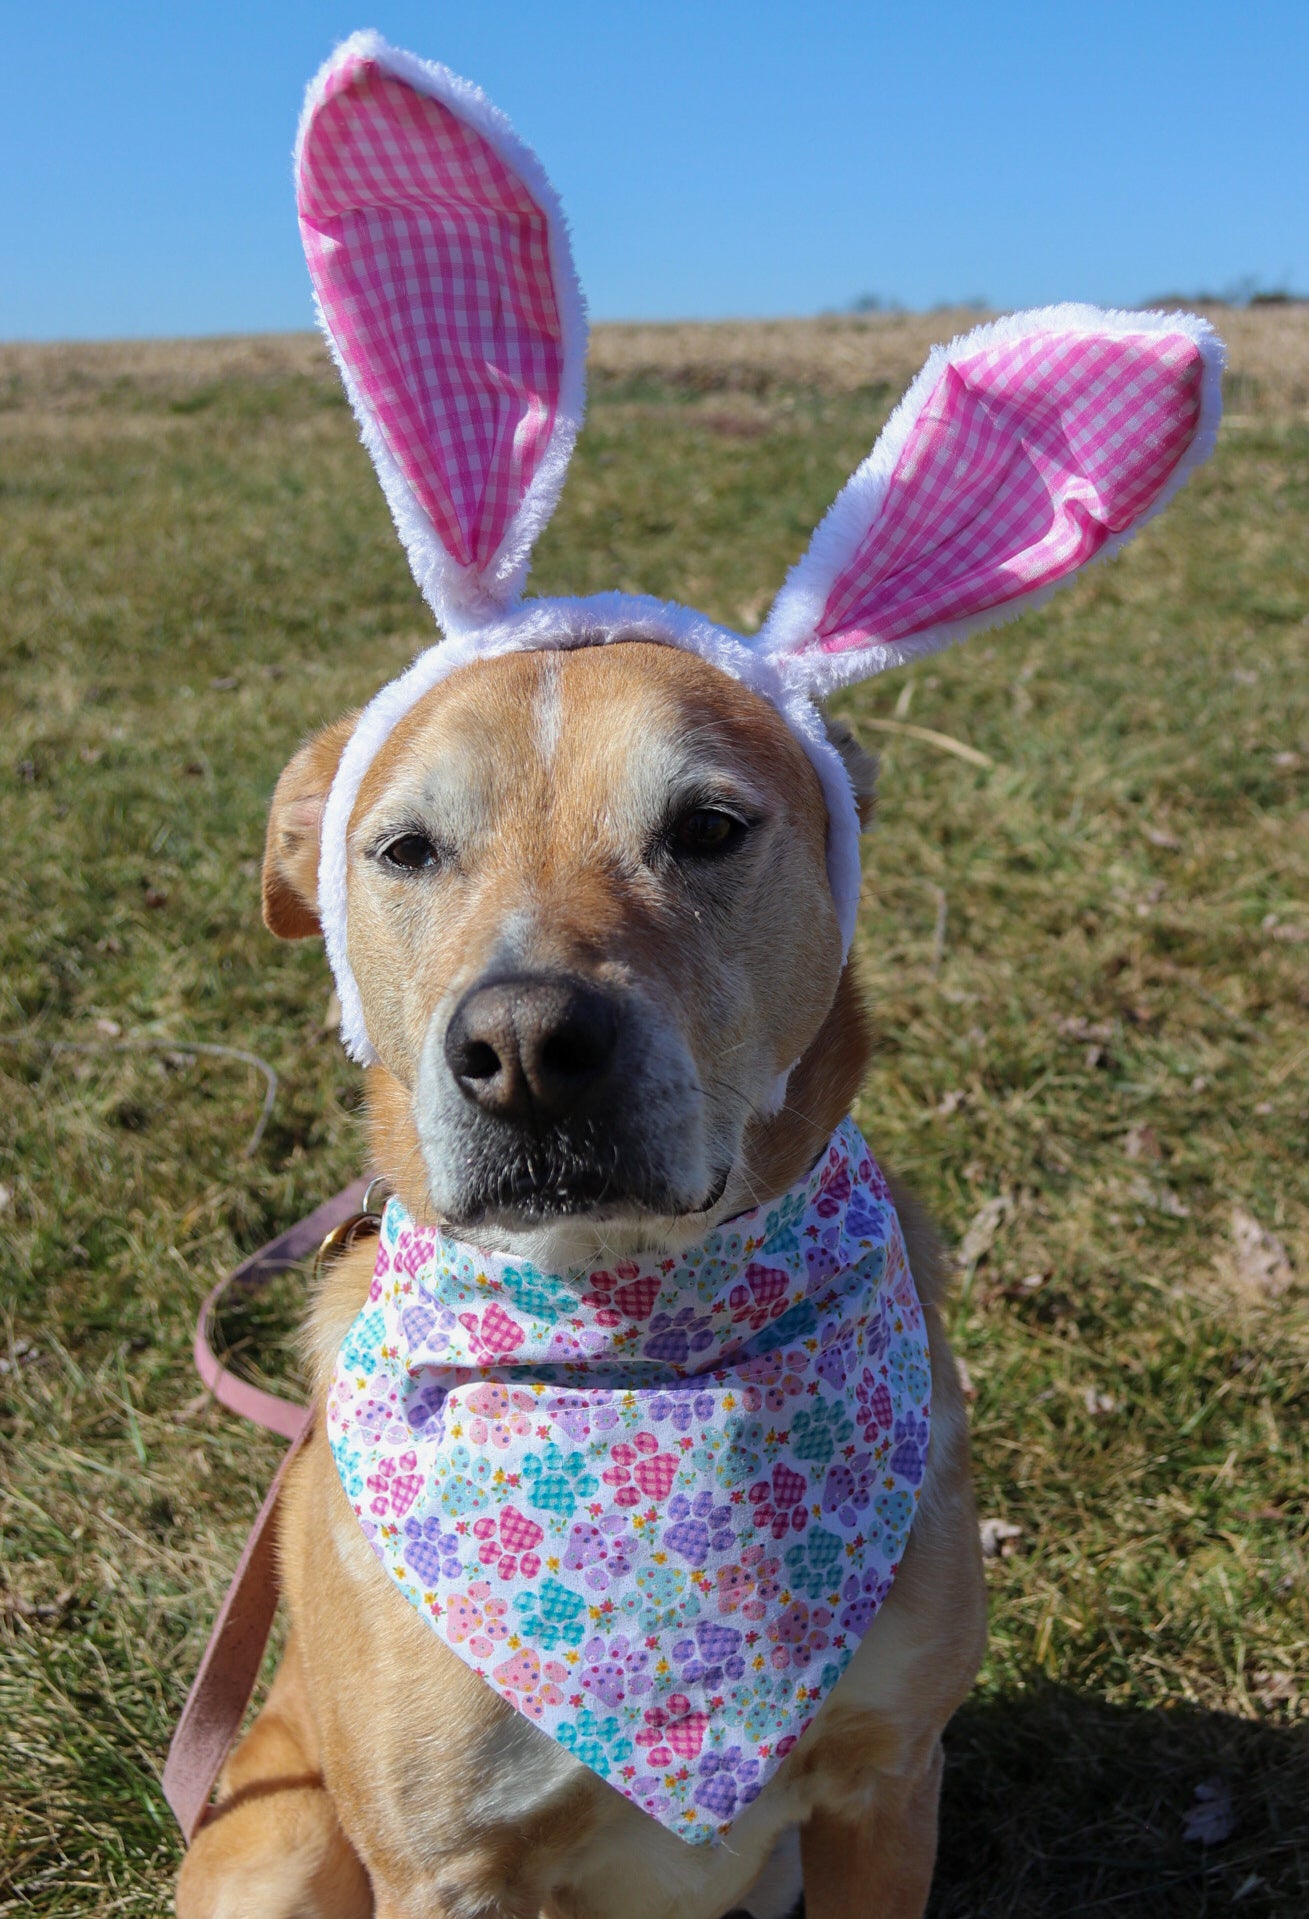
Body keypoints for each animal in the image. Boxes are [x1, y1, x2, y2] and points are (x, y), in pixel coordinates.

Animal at [178, 644, 982, 1919]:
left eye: (705, 827)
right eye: (407, 848)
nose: (523, 1050)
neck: (620, 1336)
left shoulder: (888, 1782)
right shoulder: (447, 1868)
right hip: (281, 1837)